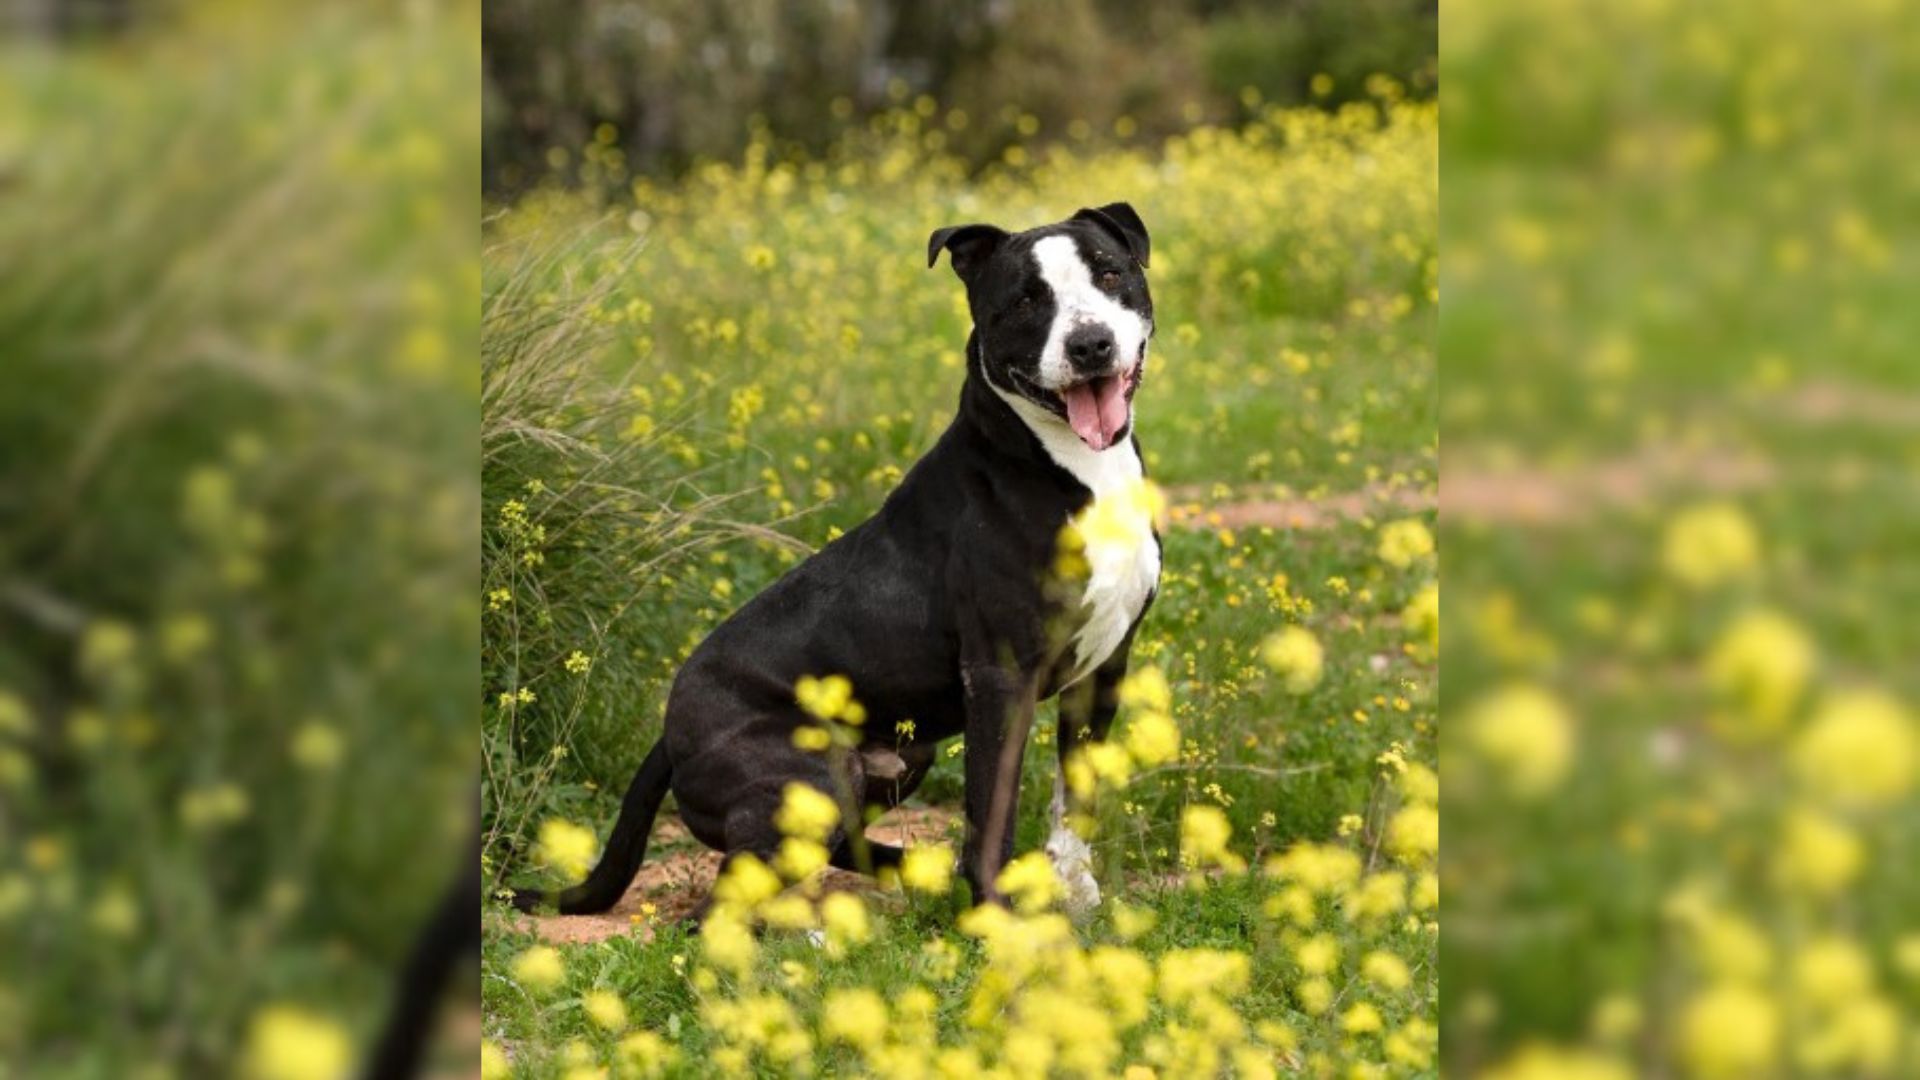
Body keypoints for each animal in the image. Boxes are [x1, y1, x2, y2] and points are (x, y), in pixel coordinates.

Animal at [510, 203, 1159, 914]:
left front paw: (1075, 893)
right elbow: (991, 811)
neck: (1072, 467)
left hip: (900, 758)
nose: (1090, 344)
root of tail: (668, 736)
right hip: (810, 775)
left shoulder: (1104, 667)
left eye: (1110, 273)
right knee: (719, 903)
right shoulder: (1001, 675)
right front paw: (997, 916)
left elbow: (1076, 799)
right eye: (1024, 301)